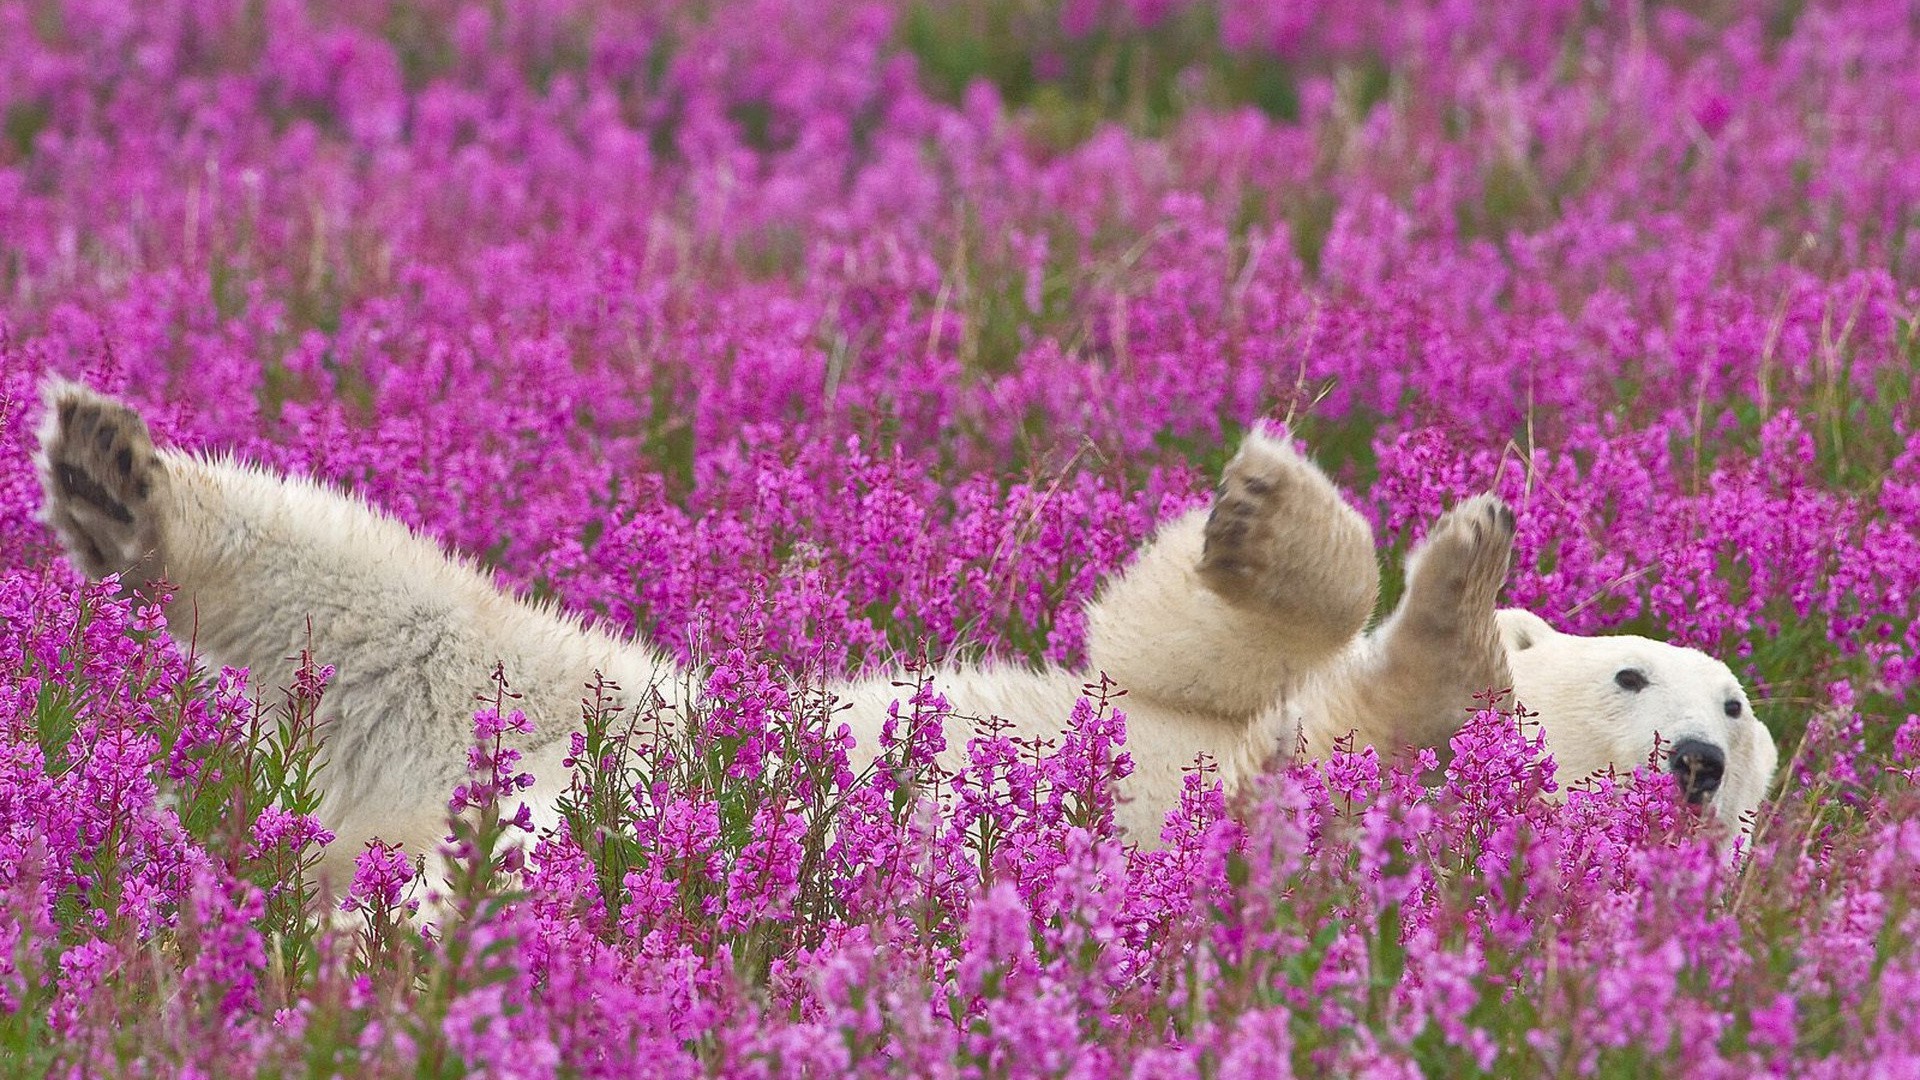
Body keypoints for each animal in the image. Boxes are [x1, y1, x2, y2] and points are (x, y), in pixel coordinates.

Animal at [30, 378, 1774, 883]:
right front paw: (1294, 514)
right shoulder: (1198, 705)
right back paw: (115, 473)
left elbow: (1368, 735)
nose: (1695, 757)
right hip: (586, 702)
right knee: (380, 594)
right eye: (1647, 671)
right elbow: (1159, 644)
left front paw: (1457, 605)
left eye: (1741, 717)